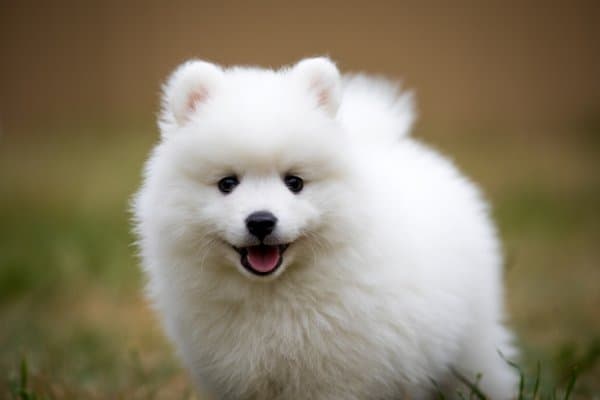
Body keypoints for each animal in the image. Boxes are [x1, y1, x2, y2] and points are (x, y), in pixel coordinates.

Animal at [134, 57, 516, 398]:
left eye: (295, 182)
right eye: (227, 183)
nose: (261, 220)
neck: (272, 297)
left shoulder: (337, 378)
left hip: (472, 339)